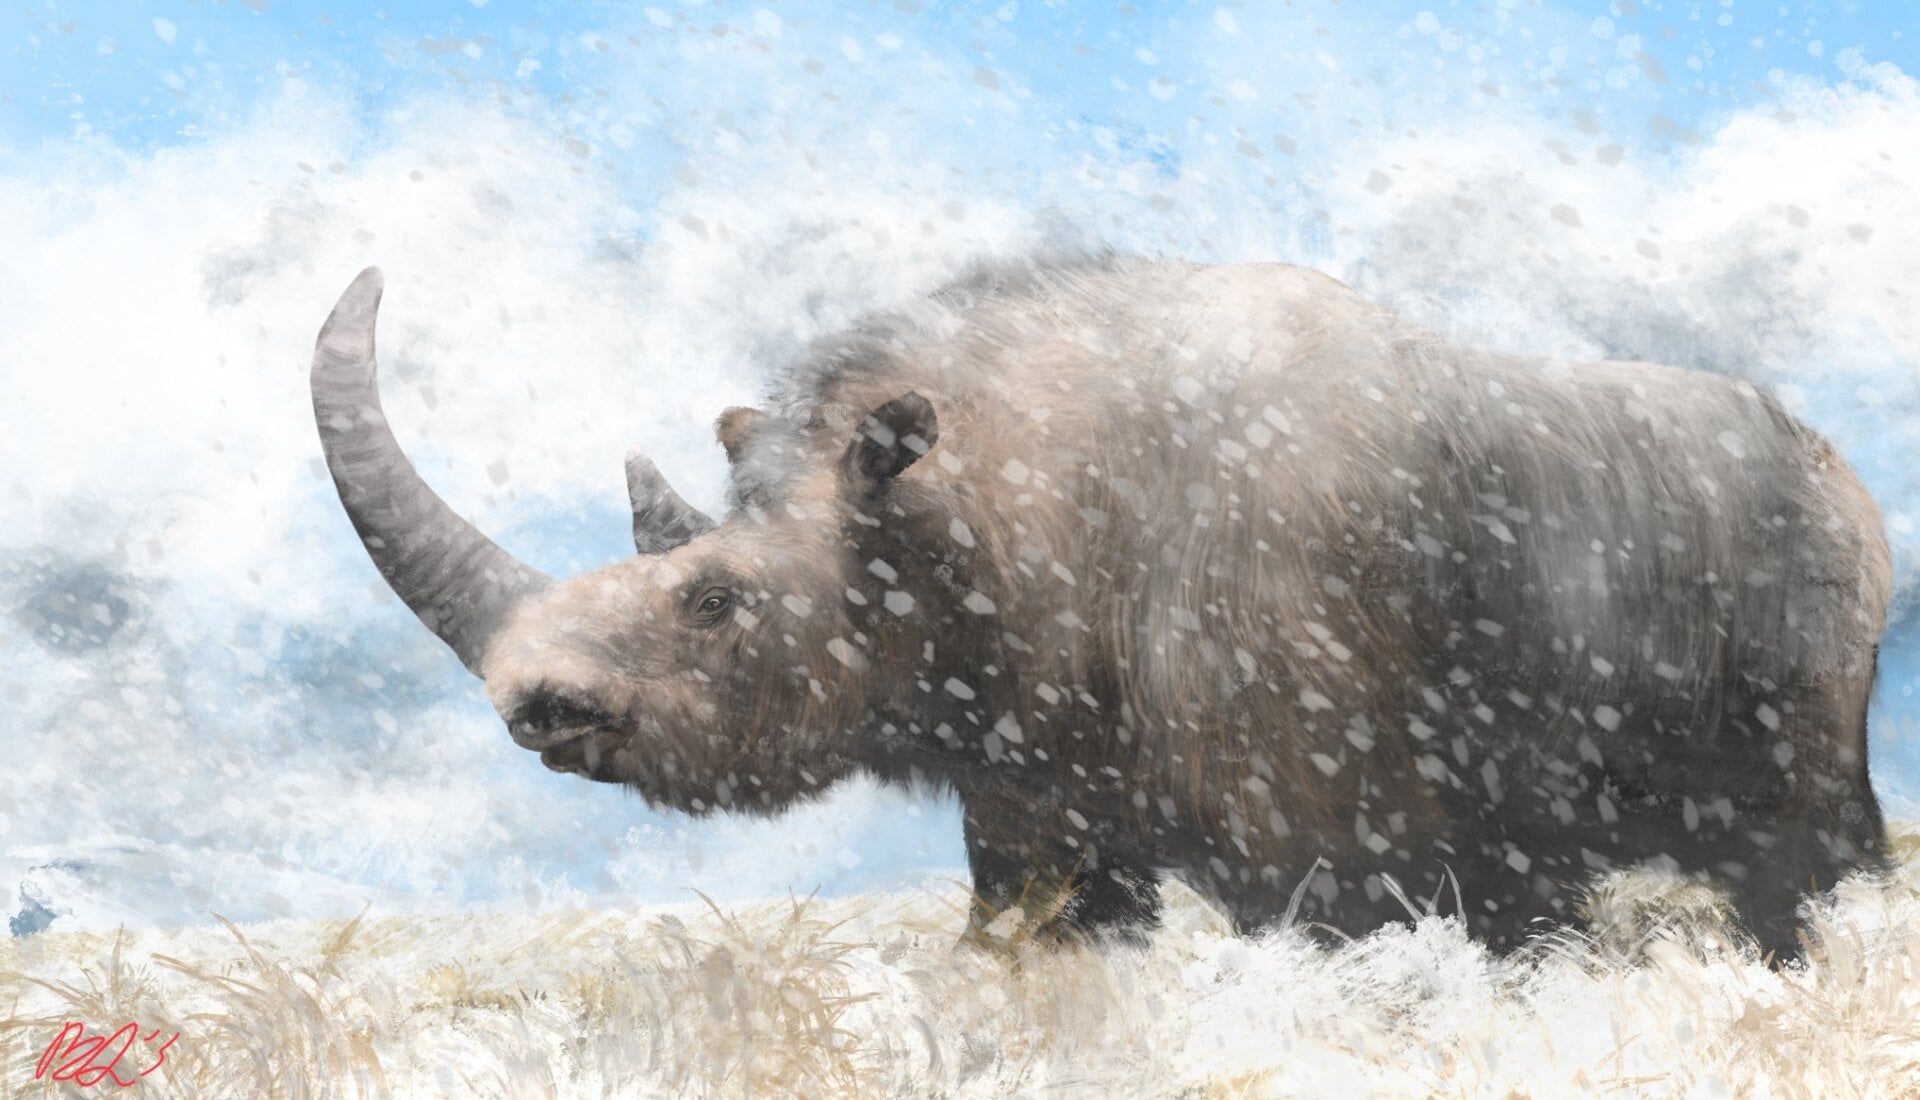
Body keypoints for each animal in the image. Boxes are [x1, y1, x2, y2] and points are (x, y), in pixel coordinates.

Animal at [311, 256, 1890, 960]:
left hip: (1814, 597)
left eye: (713, 600)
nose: (540, 707)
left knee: (1788, 852)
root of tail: (1850, 472)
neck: (975, 505)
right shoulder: (1038, 803)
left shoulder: (1335, 838)